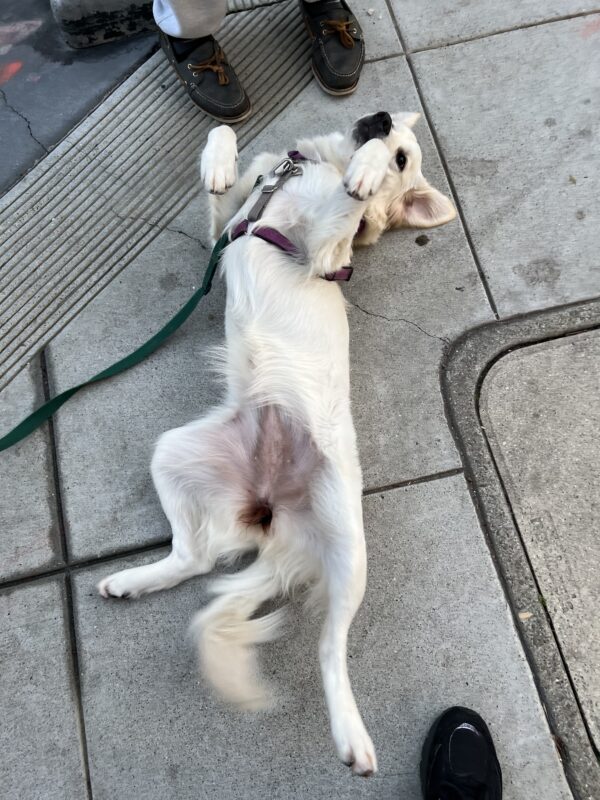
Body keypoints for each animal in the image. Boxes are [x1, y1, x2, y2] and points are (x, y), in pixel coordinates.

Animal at [98, 112, 454, 776]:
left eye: (403, 158)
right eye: (389, 121)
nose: (377, 122)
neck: (307, 167)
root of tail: (275, 516)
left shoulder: (323, 254)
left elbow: (348, 204)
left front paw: (363, 174)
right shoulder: (229, 227)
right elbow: (221, 166)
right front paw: (219, 158)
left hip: (349, 550)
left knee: (329, 650)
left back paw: (350, 734)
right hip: (173, 451)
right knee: (197, 558)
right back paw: (133, 580)